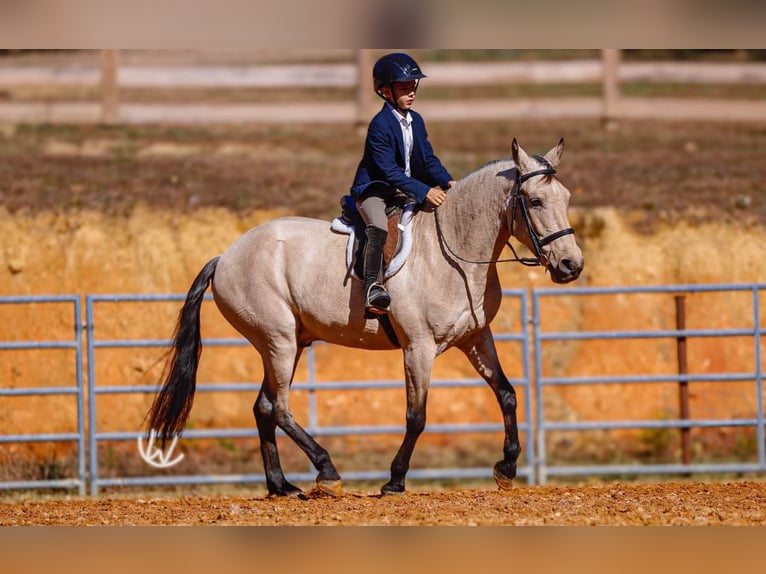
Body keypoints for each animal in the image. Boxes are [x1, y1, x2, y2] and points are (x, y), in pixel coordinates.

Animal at [145, 138, 584, 496]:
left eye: (565, 197)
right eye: (535, 201)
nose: (571, 265)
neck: (454, 251)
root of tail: (226, 255)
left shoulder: (476, 338)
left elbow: (507, 394)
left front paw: (506, 468)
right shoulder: (418, 347)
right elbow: (416, 416)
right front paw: (395, 480)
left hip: (289, 344)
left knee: (264, 408)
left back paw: (281, 485)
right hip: (278, 340)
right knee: (281, 408)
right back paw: (327, 473)